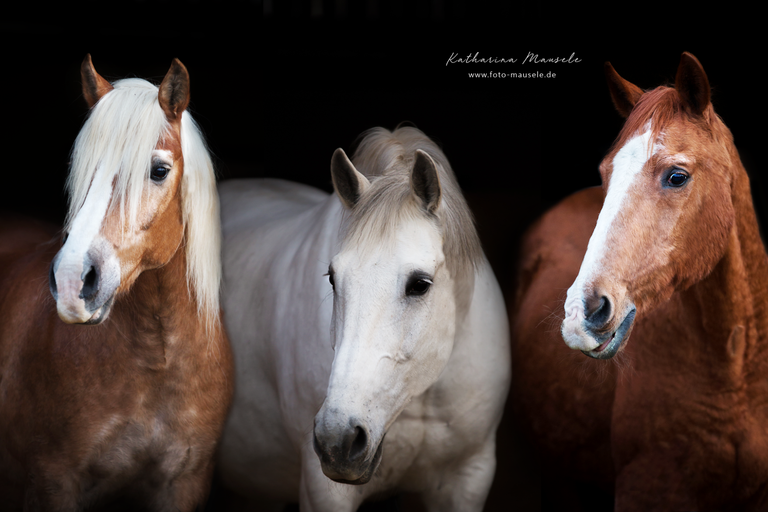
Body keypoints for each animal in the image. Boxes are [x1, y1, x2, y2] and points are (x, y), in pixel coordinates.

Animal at [0, 55, 234, 508]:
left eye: (158, 170)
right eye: (83, 171)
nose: (72, 282)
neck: (155, 361)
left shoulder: (185, 481)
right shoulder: (53, 482)